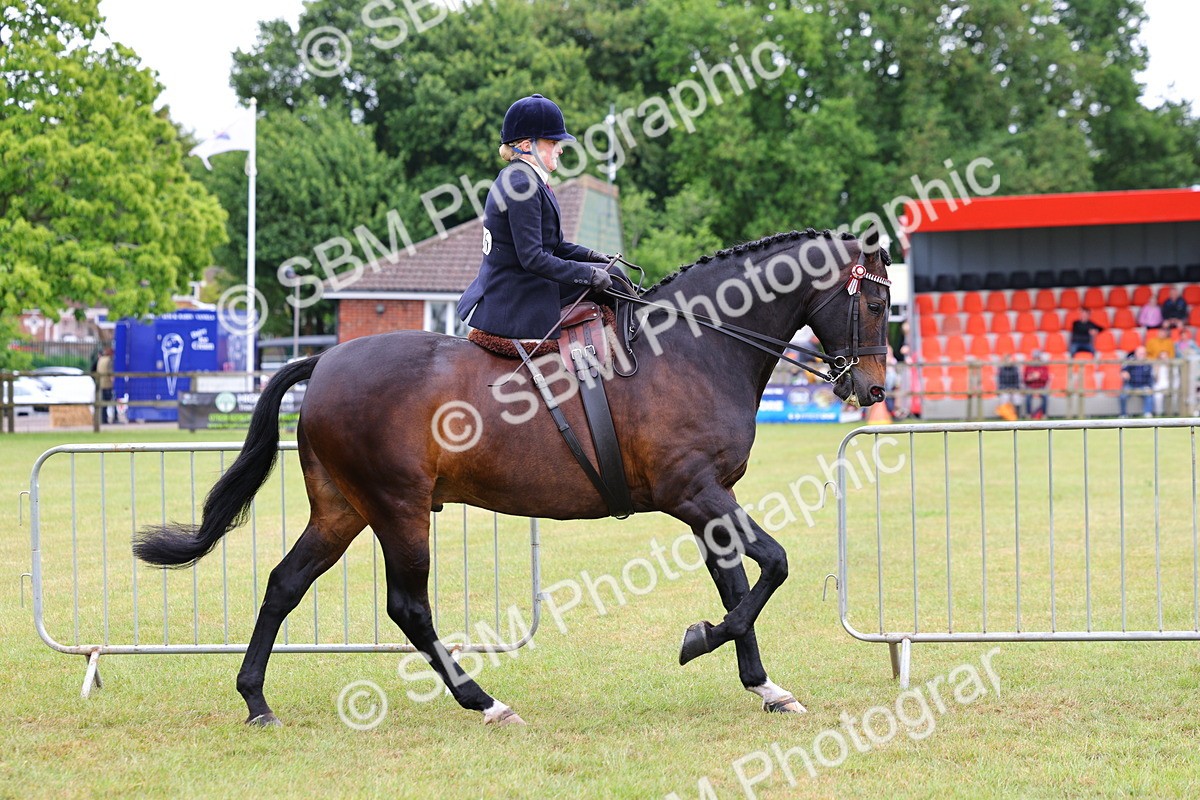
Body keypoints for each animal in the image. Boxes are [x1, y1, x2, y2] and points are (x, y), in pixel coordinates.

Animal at [134, 228, 892, 727]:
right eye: (878, 304)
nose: (872, 389)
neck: (693, 346)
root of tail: (323, 363)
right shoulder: (695, 493)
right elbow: (772, 566)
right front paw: (699, 640)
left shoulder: (711, 499)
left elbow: (739, 582)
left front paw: (764, 685)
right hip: (398, 508)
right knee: (408, 608)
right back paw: (484, 701)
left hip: (343, 511)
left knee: (285, 583)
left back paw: (256, 698)